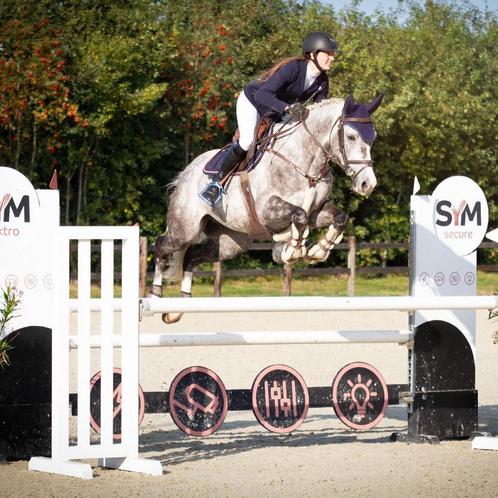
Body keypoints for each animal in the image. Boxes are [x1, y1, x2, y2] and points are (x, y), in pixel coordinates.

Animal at [154, 94, 384, 322]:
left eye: (373, 137)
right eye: (351, 137)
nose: (367, 184)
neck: (305, 162)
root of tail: (184, 174)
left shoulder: (317, 211)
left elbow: (339, 218)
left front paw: (317, 250)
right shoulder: (268, 210)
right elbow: (298, 216)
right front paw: (290, 250)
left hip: (230, 242)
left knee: (192, 257)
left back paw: (177, 309)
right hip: (184, 228)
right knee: (162, 246)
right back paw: (155, 295)